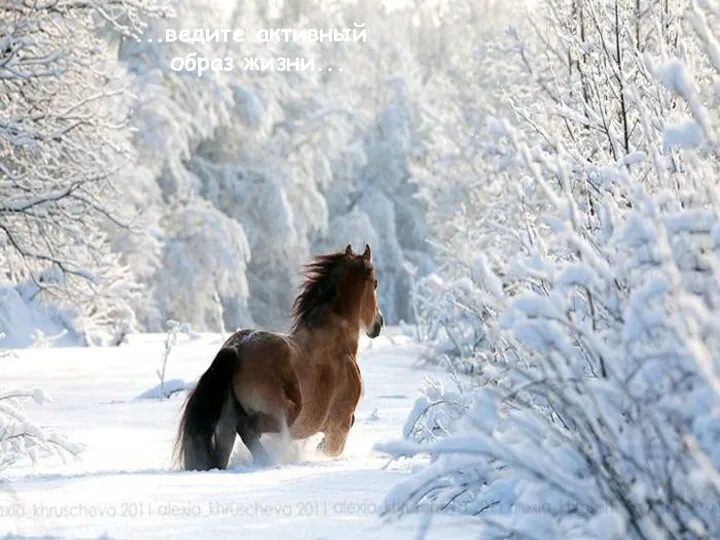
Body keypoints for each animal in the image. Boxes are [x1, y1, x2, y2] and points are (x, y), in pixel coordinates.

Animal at [173, 243, 382, 470]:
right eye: (375, 283)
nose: (378, 324)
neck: (337, 344)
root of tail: (236, 348)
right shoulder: (340, 423)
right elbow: (331, 448)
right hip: (284, 413)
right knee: (248, 428)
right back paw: (267, 460)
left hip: (226, 426)